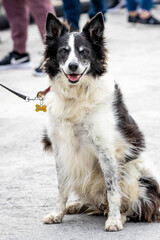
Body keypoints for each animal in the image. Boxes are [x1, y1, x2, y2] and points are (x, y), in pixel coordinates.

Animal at [42, 12, 159, 231]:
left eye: (84, 52)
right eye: (63, 52)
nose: (73, 66)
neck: (77, 97)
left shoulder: (106, 150)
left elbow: (113, 191)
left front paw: (114, 220)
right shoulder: (61, 149)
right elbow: (62, 186)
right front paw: (57, 213)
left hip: (134, 173)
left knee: (137, 206)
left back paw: (121, 216)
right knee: (96, 202)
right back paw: (76, 206)